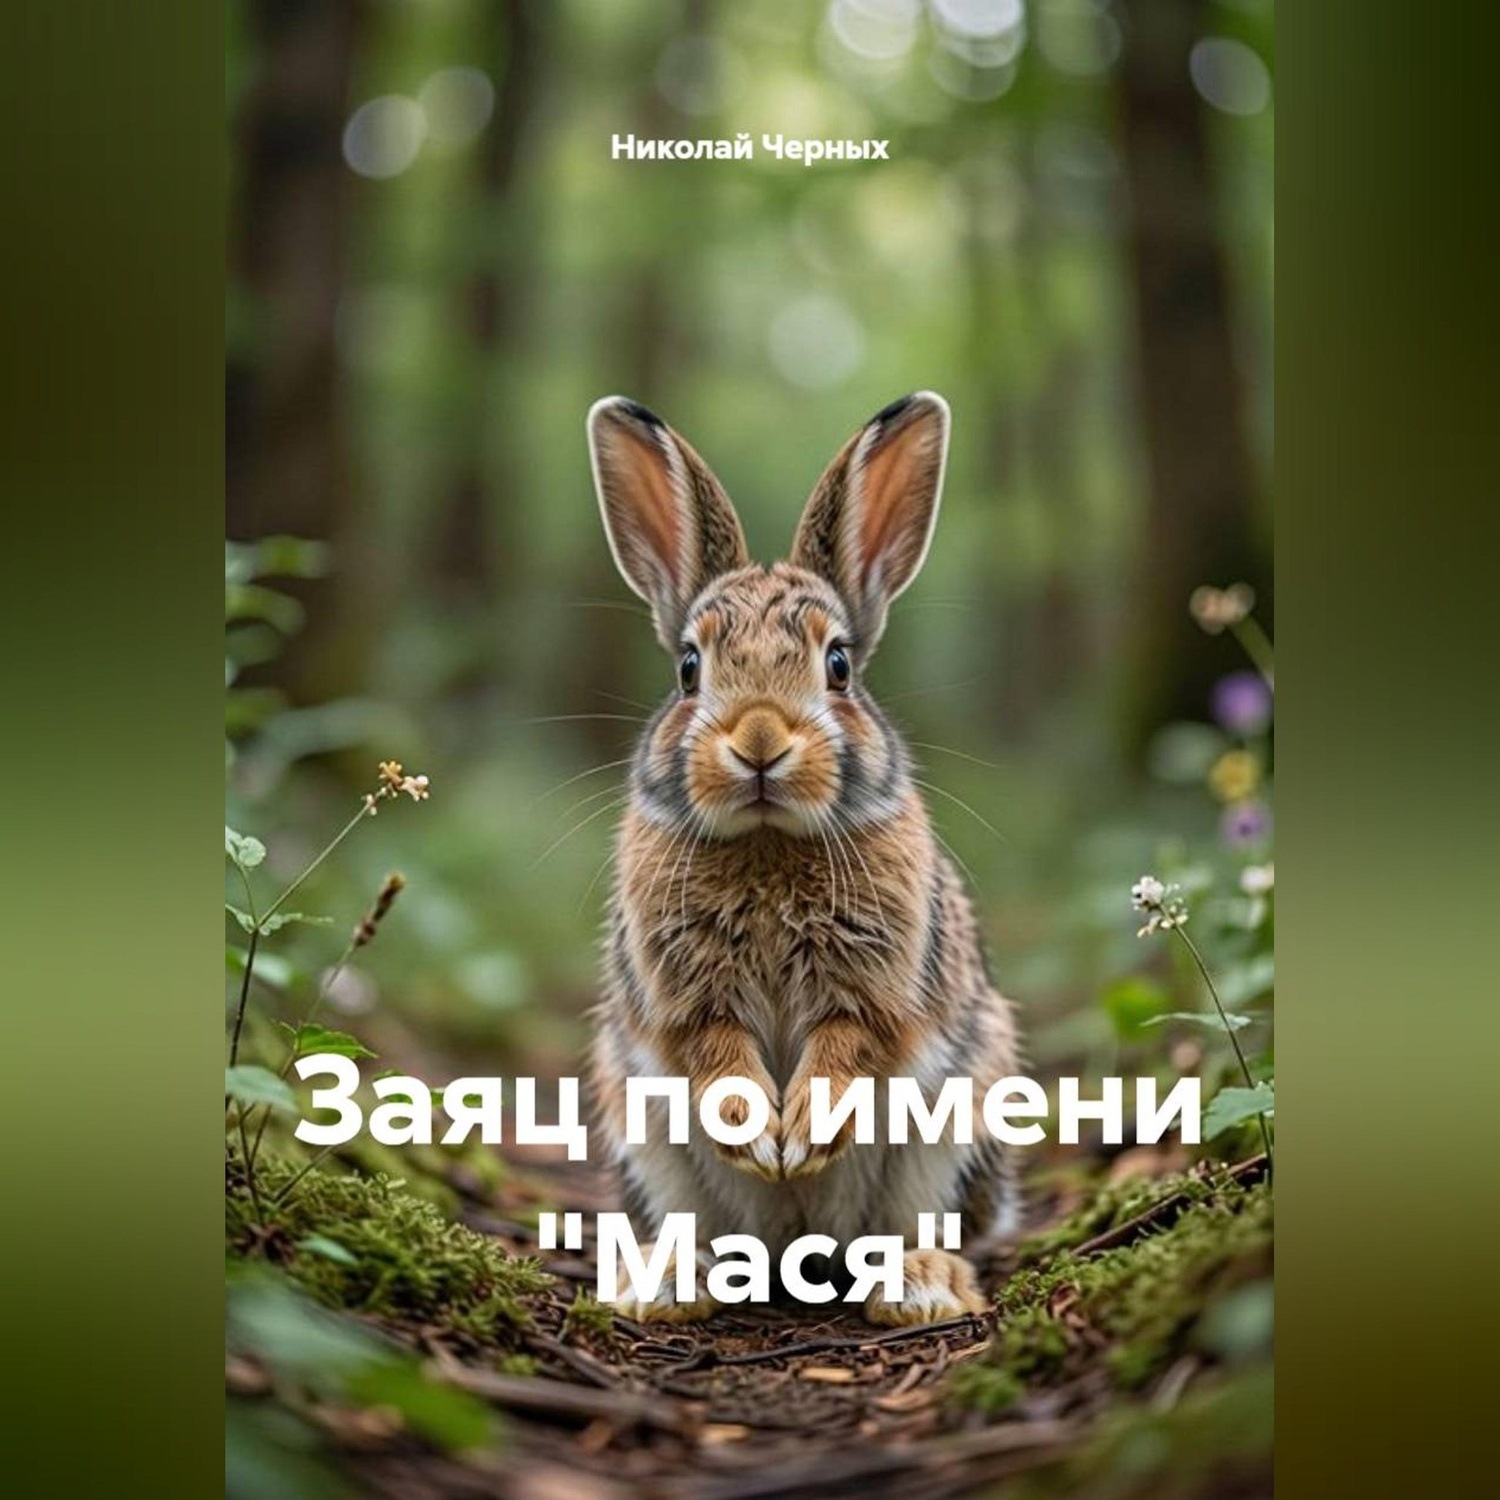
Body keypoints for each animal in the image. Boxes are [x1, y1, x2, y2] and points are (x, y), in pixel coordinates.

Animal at [584, 392, 1020, 1326]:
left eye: (839, 664)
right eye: (688, 668)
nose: (758, 742)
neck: (768, 842)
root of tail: (797, 1251)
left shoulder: (878, 988)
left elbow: (850, 1042)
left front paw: (802, 1135)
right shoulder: (683, 998)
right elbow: (712, 1051)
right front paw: (763, 1136)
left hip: (960, 1114)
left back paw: (921, 1285)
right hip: (641, 1129)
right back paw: (669, 1284)